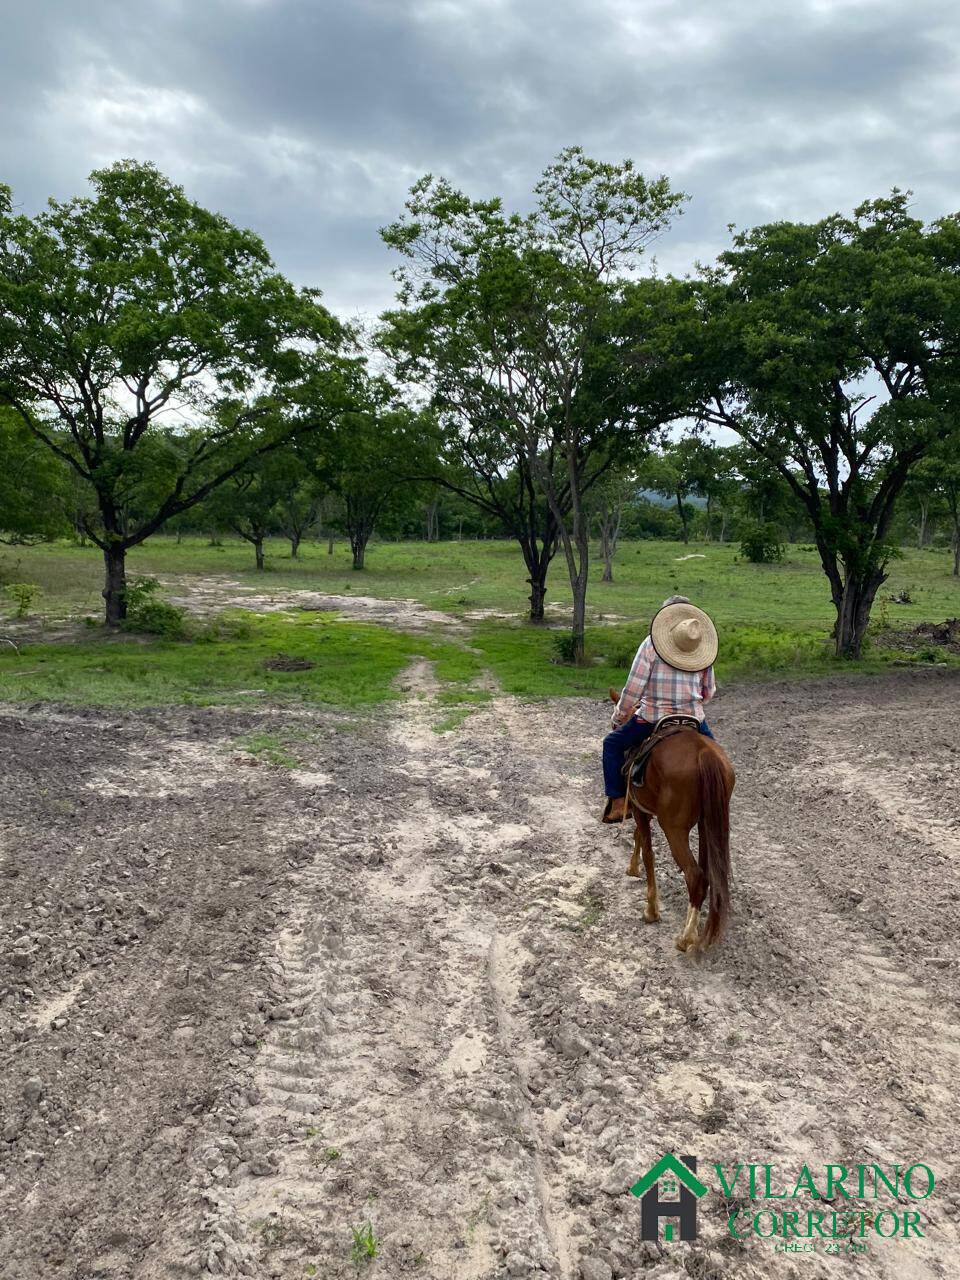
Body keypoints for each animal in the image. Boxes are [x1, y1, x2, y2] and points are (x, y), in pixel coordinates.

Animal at [609, 691, 737, 952]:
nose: (616, 723)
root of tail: (703, 753)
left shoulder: (639, 808)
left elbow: (648, 851)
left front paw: (651, 910)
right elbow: (639, 838)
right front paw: (633, 868)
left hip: (674, 828)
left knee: (695, 875)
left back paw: (685, 938)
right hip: (708, 825)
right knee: (706, 874)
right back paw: (695, 932)